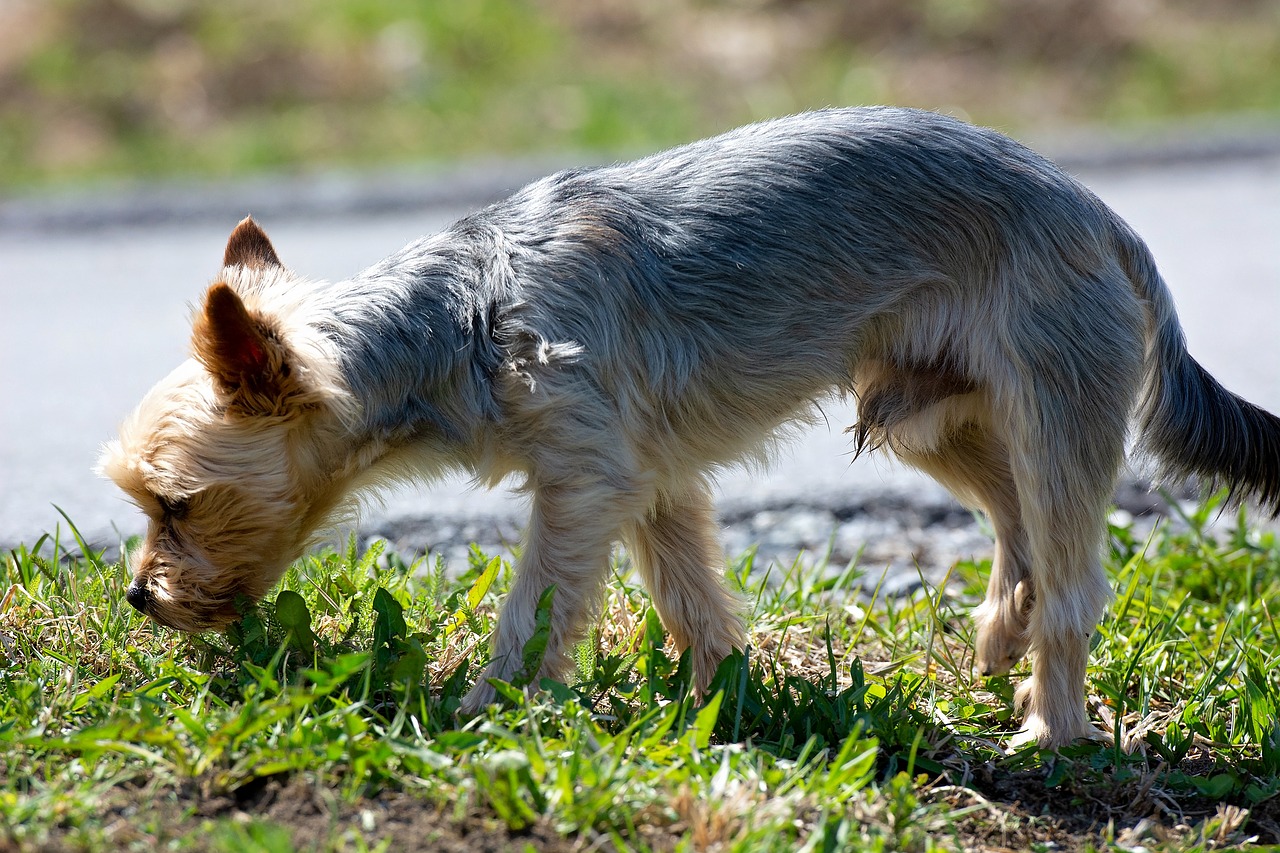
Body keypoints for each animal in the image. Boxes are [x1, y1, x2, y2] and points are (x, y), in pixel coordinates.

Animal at [104, 106, 1280, 742]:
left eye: (176, 502)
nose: (138, 596)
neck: (463, 319)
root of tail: (1101, 214)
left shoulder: (581, 484)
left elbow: (533, 614)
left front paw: (478, 713)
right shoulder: (650, 483)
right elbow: (689, 598)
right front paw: (728, 697)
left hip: (1052, 399)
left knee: (1072, 574)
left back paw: (1050, 724)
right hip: (922, 415)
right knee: (1016, 518)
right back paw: (1001, 633)